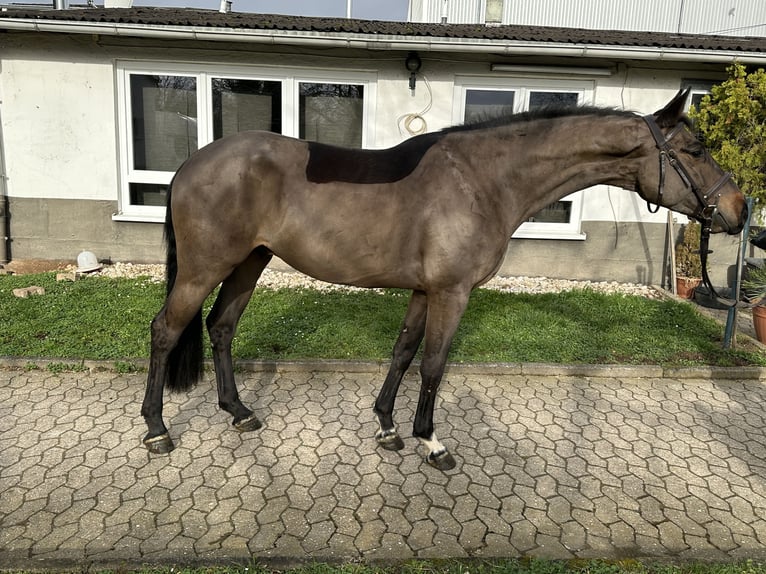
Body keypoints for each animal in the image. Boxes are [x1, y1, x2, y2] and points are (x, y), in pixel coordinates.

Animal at [141, 88, 748, 470]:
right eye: (695, 150)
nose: (739, 210)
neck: (483, 179)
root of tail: (192, 164)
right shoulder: (451, 293)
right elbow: (434, 363)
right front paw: (431, 443)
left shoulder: (423, 291)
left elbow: (404, 352)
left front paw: (388, 428)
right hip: (205, 268)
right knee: (166, 330)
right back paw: (157, 430)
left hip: (250, 262)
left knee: (221, 328)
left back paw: (239, 414)